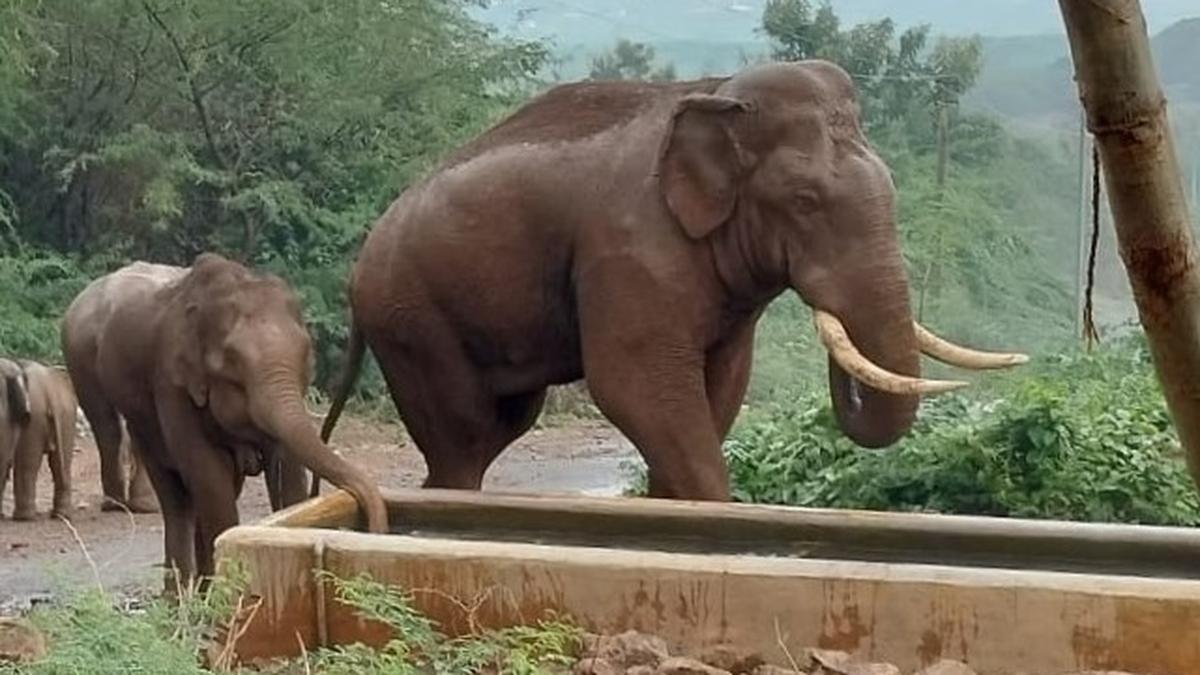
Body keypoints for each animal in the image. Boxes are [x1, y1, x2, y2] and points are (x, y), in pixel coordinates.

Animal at [0, 361, 78, 520]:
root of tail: (50, 394)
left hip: (36, 416)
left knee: (27, 465)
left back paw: (23, 518)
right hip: (66, 415)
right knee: (61, 464)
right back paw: (61, 515)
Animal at [90, 252, 386, 586]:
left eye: (306, 354)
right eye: (232, 362)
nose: (374, 530)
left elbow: (285, 468)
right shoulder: (171, 383)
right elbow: (208, 472)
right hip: (139, 422)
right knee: (176, 499)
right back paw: (179, 596)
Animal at [317, 60, 1028, 501]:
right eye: (804, 201)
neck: (717, 92)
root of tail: (359, 265)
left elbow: (720, 391)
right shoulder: (630, 251)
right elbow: (636, 387)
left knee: (499, 427)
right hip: (412, 320)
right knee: (463, 437)